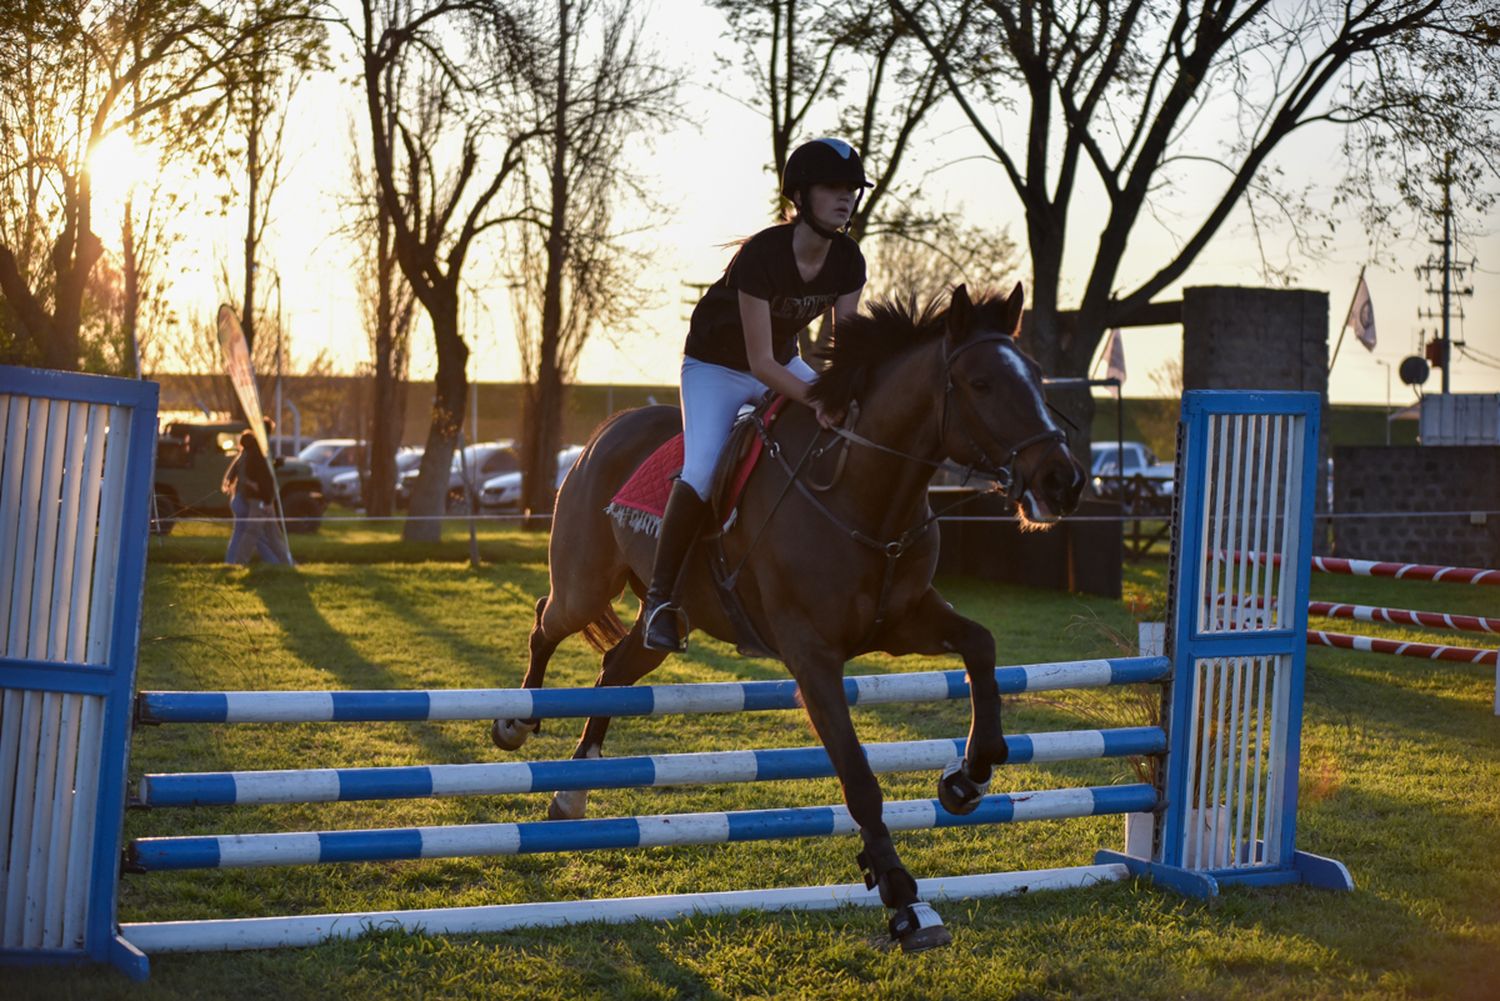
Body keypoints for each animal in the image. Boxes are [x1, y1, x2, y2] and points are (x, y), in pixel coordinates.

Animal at [489, 283, 1080, 954]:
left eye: (1035, 375)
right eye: (981, 383)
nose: (1063, 482)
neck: (863, 491)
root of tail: (605, 433)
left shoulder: (904, 622)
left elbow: (981, 646)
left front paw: (967, 779)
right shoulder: (812, 655)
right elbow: (859, 777)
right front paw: (904, 900)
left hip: (663, 622)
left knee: (614, 667)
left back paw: (571, 793)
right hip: (586, 585)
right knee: (546, 619)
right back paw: (514, 723)